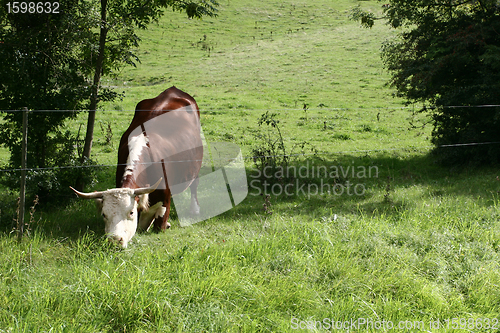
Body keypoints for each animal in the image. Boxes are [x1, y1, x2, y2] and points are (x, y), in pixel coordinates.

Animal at [71, 85, 203, 246]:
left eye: (131, 212)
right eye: (104, 214)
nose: (115, 240)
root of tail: (173, 90)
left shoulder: (165, 200)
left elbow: (159, 225)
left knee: (194, 184)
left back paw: (195, 209)